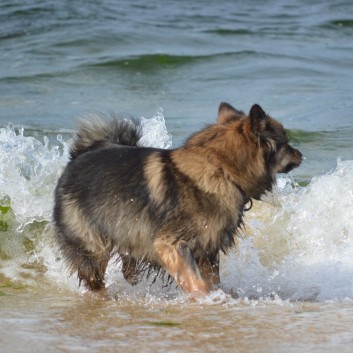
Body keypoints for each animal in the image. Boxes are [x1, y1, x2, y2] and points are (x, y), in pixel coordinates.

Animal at [53, 102, 302, 294]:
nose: (300, 154)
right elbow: (198, 283)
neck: (221, 168)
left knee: (127, 267)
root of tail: (76, 159)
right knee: (94, 279)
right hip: (91, 247)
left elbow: (210, 280)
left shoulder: (207, 251)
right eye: (286, 142)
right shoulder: (171, 244)